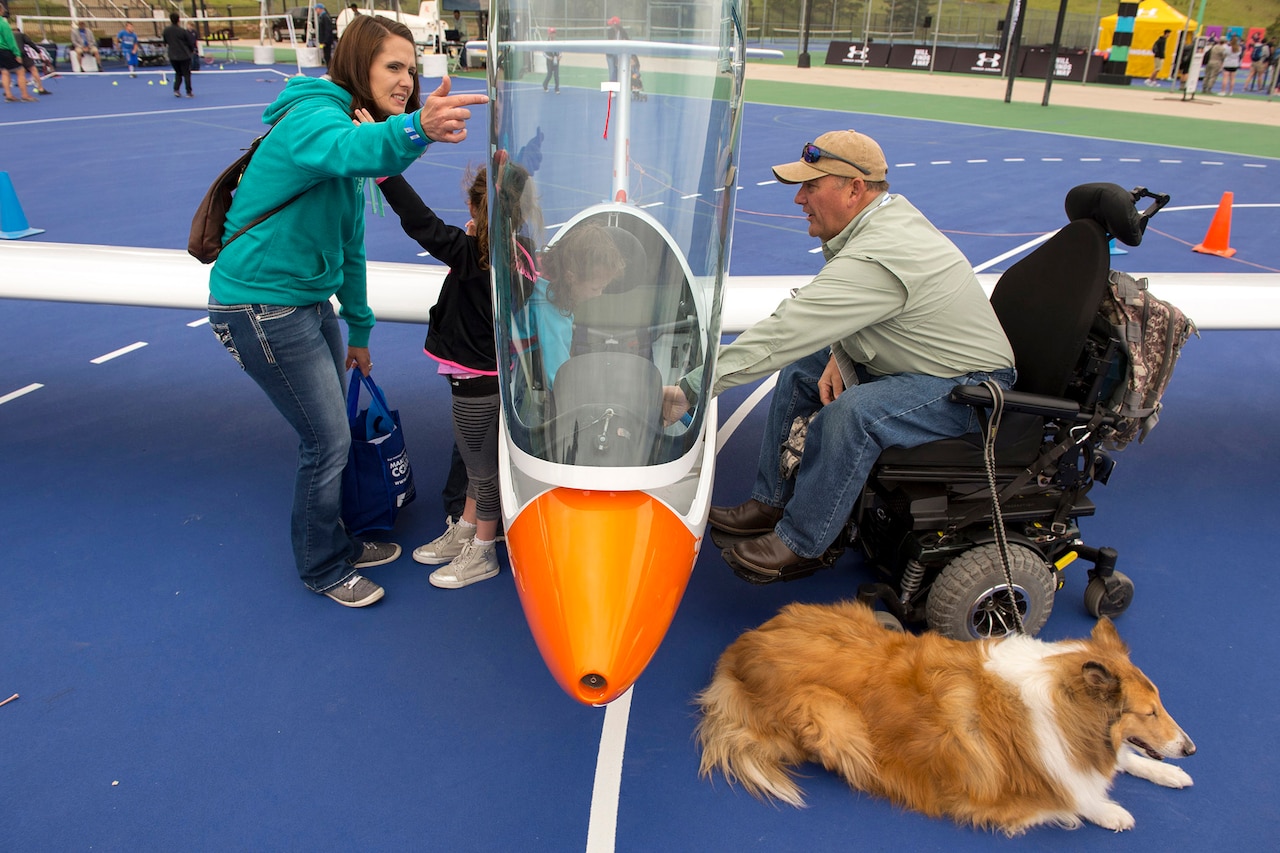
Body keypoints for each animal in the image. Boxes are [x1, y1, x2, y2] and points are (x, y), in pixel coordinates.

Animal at [696, 596, 1192, 829]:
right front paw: (1108, 812)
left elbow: (1125, 759)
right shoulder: (999, 793)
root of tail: (738, 647)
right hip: (836, 723)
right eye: (1149, 712)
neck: (1060, 706)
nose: (1191, 748)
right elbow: (1072, 796)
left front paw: (1169, 773)